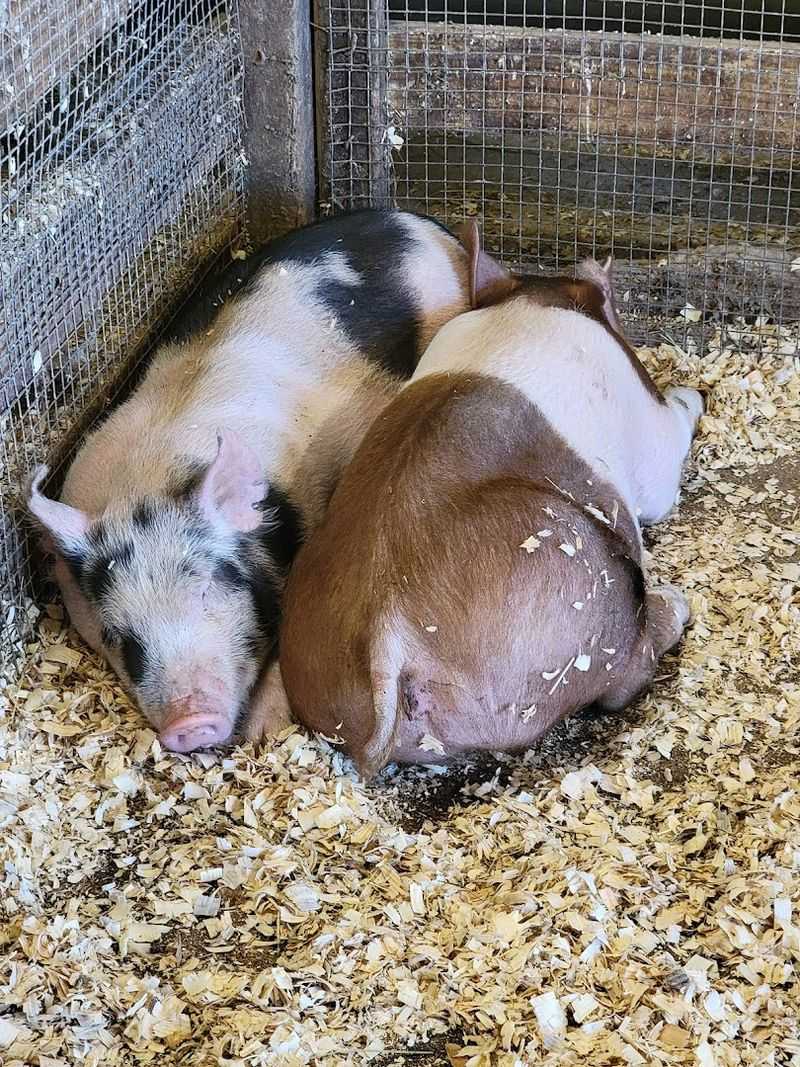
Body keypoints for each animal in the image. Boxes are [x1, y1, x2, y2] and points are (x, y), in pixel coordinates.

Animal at [26, 209, 471, 753]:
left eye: (207, 590)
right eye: (118, 636)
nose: (190, 723)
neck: (146, 478)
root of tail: (415, 220)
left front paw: (266, 730)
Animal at [279, 221, 704, 777]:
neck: (526, 303)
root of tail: (388, 629)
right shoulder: (642, 427)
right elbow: (663, 466)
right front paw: (694, 397)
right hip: (580, 579)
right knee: (624, 672)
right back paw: (676, 603)